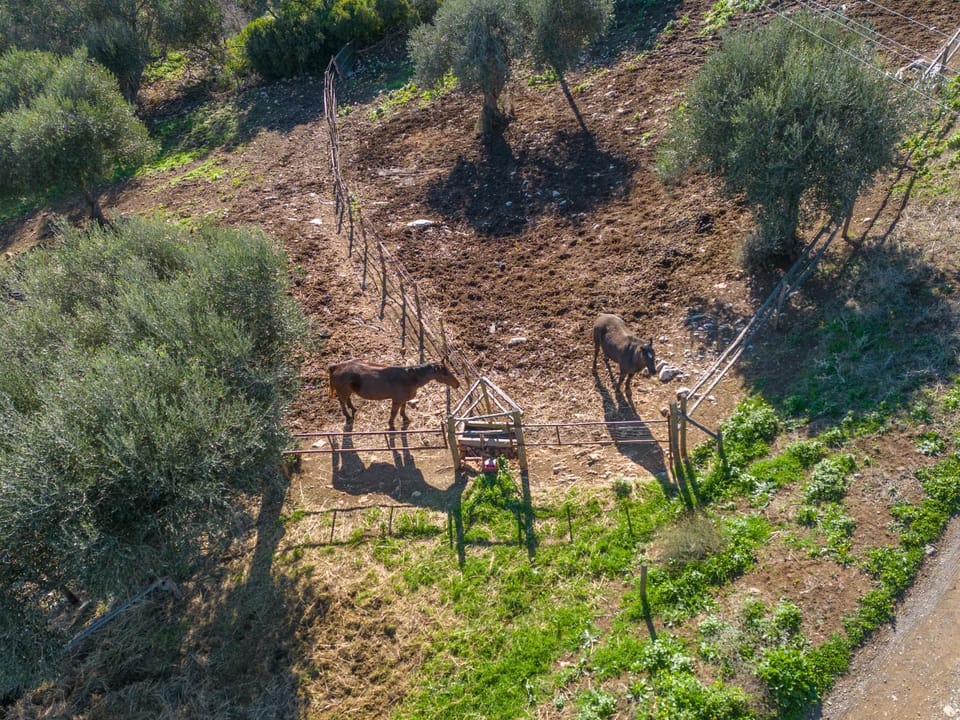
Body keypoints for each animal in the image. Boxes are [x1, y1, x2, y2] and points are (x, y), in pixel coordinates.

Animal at [328, 357, 461, 428]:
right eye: (444, 374)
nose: (457, 384)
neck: (410, 378)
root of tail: (336, 366)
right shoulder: (396, 400)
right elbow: (394, 413)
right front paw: (391, 425)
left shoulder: (403, 399)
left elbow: (403, 409)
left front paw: (405, 418)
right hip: (343, 392)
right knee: (342, 402)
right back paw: (348, 415)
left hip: (348, 391)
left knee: (348, 399)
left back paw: (353, 409)